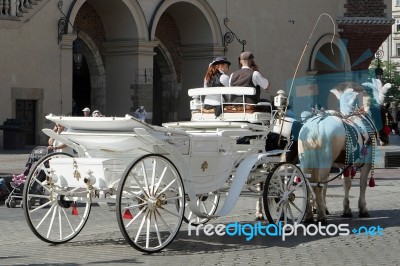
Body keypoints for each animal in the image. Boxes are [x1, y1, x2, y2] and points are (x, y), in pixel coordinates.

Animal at [298, 79, 390, 224]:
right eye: (388, 115)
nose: (386, 139)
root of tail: (315, 125)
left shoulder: (344, 165)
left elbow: (346, 184)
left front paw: (346, 209)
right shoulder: (366, 164)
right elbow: (362, 184)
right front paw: (363, 209)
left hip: (306, 161)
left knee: (309, 184)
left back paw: (309, 215)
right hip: (324, 163)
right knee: (319, 186)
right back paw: (321, 215)